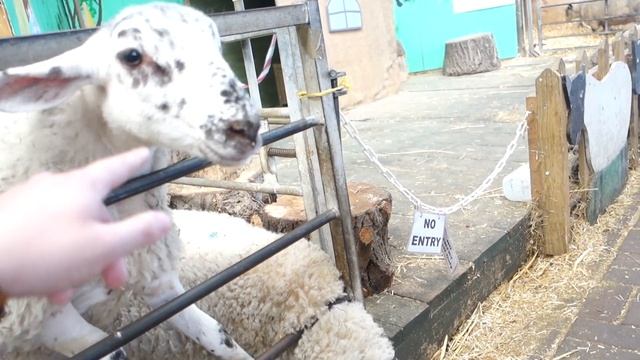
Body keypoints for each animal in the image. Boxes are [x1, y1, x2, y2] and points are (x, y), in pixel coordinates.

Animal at [0, 2, 262, 360]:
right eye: (132, 56)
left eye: (217, 46)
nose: (246, 128)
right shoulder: (42, 317)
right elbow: (114, 353)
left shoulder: (158, 279)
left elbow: (217, 334)